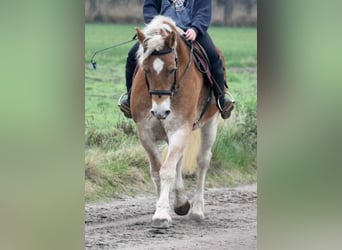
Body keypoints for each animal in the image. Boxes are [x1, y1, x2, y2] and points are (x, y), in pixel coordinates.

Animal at [130, 14, 223, 228]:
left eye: (172, 70)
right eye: (145, 69)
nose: (160, 111)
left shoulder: (180, 128)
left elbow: (167, 170)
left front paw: (162, 215)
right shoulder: (145, 133)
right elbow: (158, 171)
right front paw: (164, 206)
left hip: (209, 124)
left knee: (203, 161)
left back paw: (197, 210)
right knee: (178, 161)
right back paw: (181, 202)